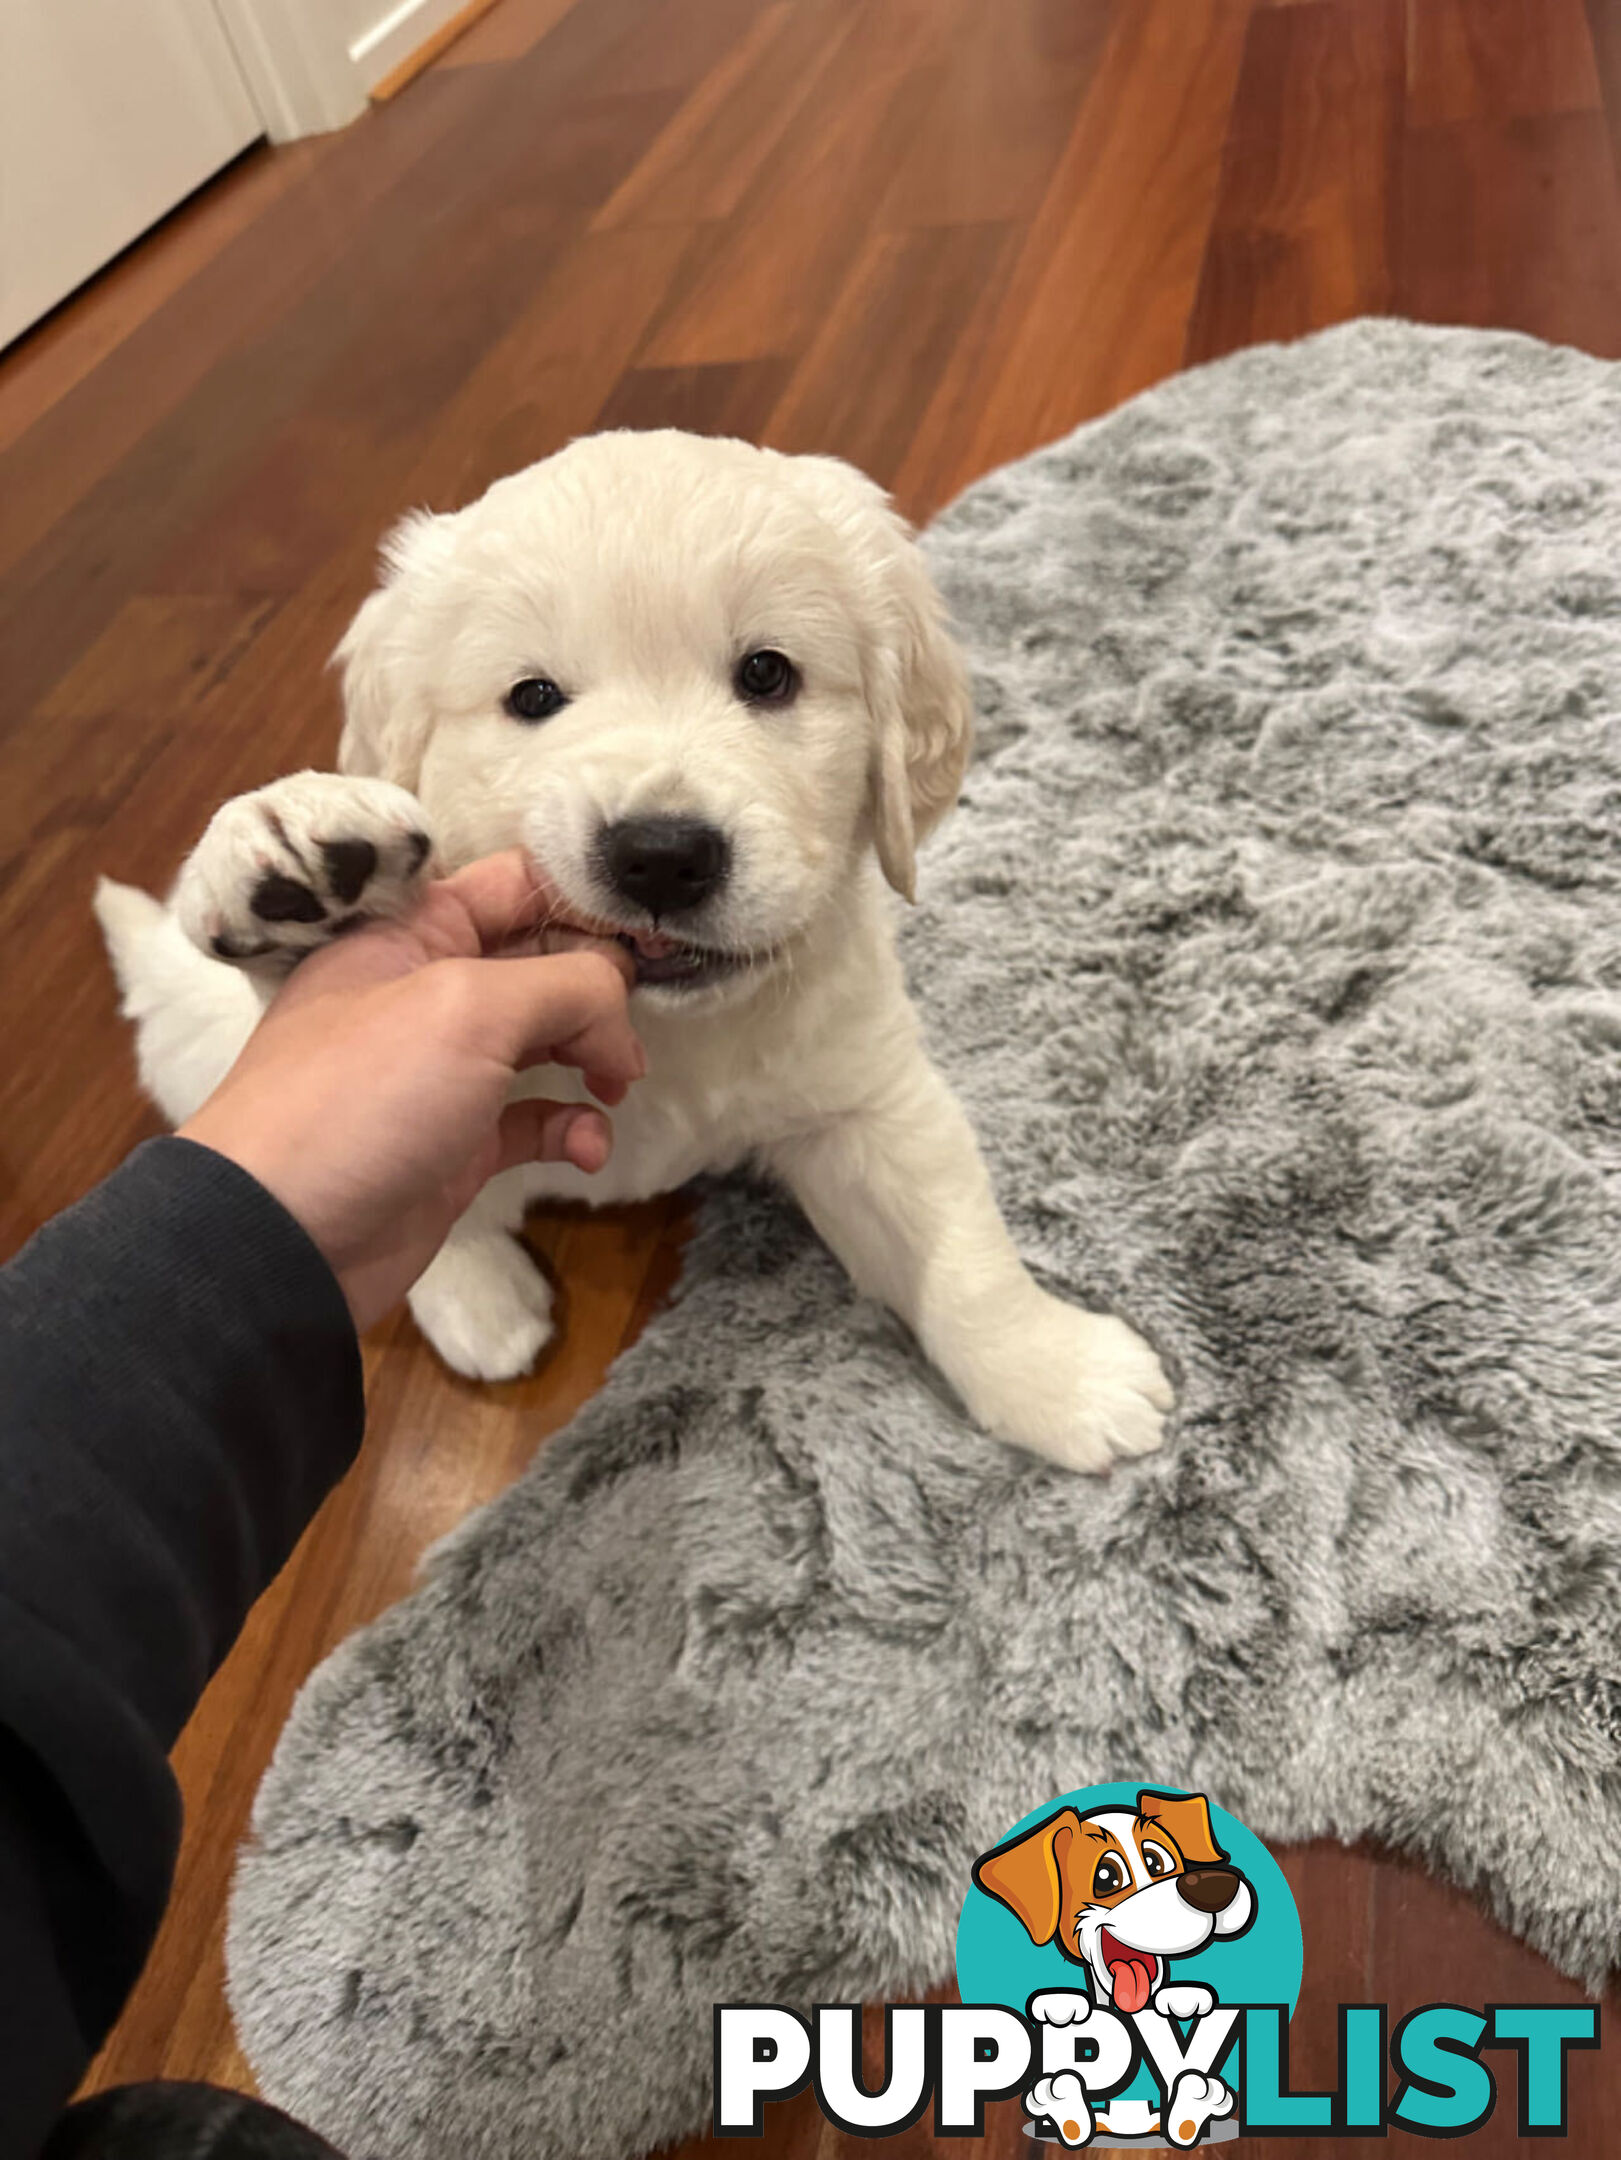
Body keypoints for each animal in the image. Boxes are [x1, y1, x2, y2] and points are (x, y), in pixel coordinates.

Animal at [95, 429, 1175, 1477]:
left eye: (767, 674)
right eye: (533, 696)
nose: (660, 855)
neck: (665, 1029)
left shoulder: (865, 1093)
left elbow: (957, 1246)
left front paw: (1056, 1375)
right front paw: (294, 859)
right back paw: (481, 1299)